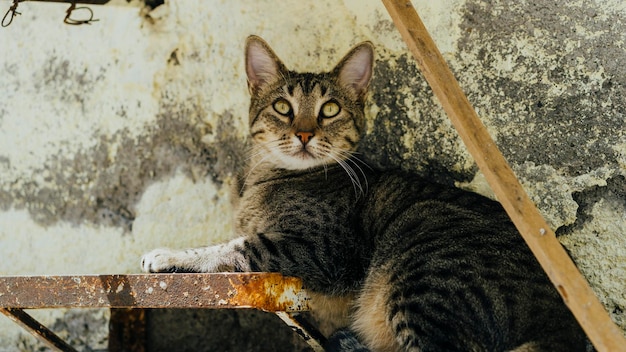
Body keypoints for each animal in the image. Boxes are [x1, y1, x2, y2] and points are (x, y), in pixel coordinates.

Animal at [141, 34, 584, 350]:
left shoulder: (322, 246)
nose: (304, 133)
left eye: (330, 109)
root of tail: (564, 324)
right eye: (283, 107)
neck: (270, 178)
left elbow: (233, 247)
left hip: (421, 263)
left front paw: (170, 255)